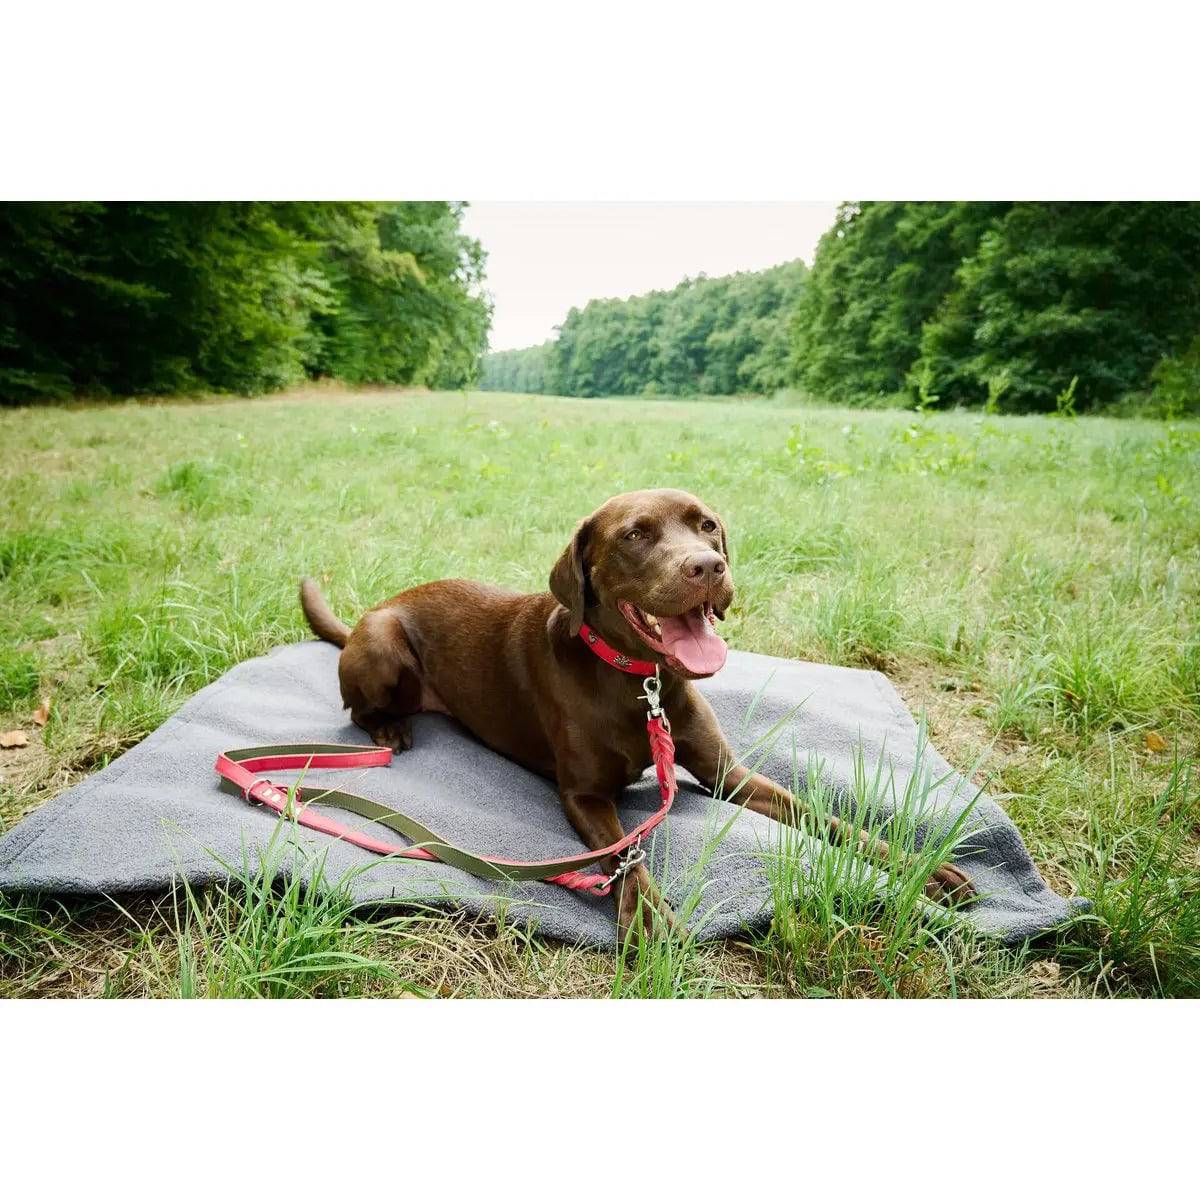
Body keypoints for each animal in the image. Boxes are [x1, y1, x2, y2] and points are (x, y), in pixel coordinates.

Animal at [302, 484, 974, 936]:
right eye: (634, 535)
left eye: (707, 525)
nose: (708, 566)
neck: (639, 682)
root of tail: (371, 612)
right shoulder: (585, 795)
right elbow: (626, 851)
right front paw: (649, 916)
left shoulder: (730, 776)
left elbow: (819, 815)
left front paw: (922, 871)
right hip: (383, 644)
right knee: (358, 707)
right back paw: (389, 727)